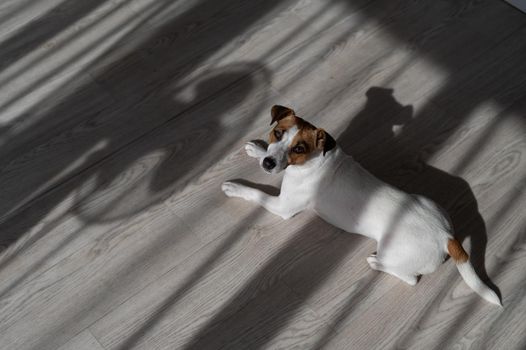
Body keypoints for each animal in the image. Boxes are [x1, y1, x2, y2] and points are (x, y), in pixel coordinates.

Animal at [222, 105, 504, 304]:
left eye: (299, 148)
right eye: (277, 133)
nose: (268, 163)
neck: (317, 159)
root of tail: (446, 236)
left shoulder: (283, 207)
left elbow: (256, 193)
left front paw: (235, 188)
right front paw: (258, 149)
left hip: (392, 250)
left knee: (411, 278)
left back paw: (377, 263)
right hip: (430, 203)